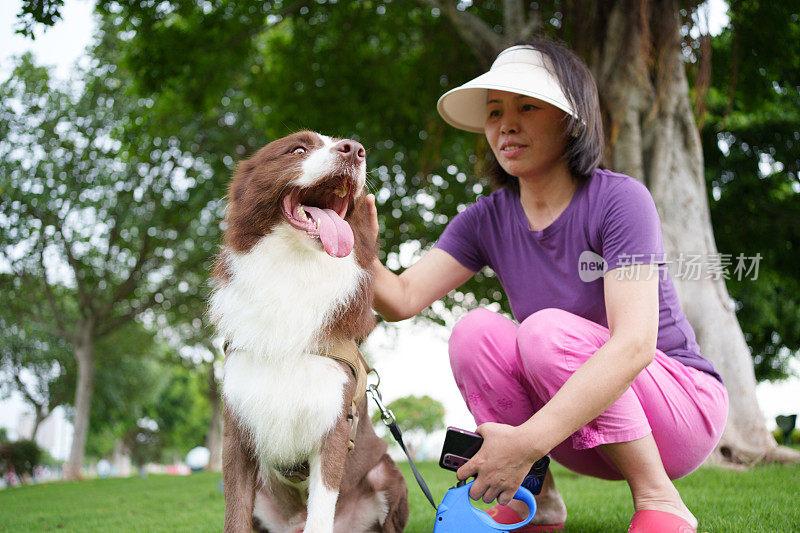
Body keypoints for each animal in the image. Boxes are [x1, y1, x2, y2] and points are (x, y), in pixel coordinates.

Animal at [209, 130, 410, 532]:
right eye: (298, 149)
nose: (355, 149)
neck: (295, 270)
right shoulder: (236, 426)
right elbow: (235, 514)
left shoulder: (335, 425)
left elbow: (321, 511)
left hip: (389, 475)